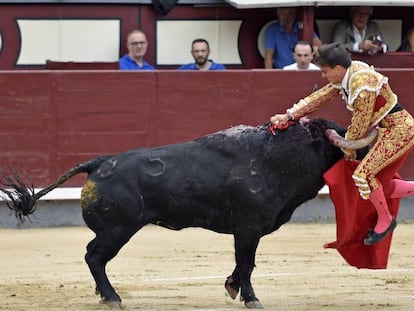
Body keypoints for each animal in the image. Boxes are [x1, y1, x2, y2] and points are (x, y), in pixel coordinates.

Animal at [0, 119, 368, 310]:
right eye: (340, 133)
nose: (366, 147)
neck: (276, 159)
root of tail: (100, 162)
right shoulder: (248, 227)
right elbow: (247, 264)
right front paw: (251, 299)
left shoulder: (247, 231)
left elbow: (241, 265)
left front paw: (232, 288)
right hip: (119, 229)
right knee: (94, 257)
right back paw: (113, 297)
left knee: (95, 257)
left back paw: (105, 296)